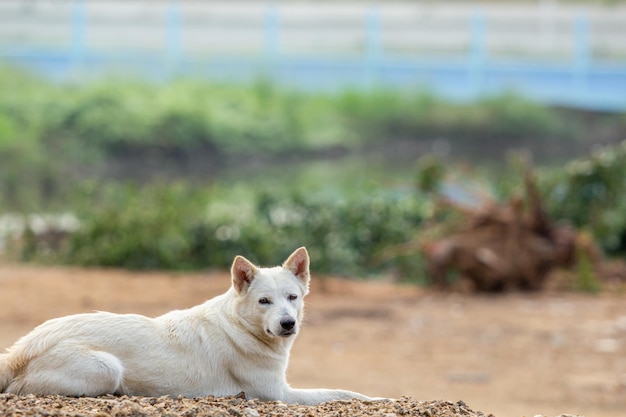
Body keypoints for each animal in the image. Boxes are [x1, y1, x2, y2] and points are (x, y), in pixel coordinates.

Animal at [0, 247, 378, 404]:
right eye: (264, 302)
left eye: (292, 297)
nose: (287, 323)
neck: (240, 327)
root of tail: (21, 349)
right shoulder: (279, 394)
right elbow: (343, 392)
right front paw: (377, 398)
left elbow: (344, 391)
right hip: (105, 369)